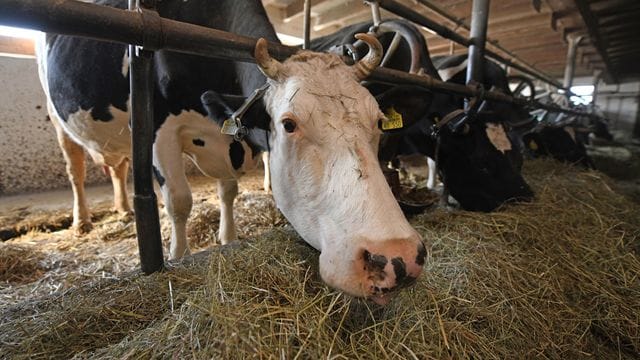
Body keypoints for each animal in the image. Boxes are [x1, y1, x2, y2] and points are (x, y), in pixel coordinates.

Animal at [33, 0, 424, 304]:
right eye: (288, 124)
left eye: (378, 121)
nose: (397, 257)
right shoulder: (157, 128)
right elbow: (179, 201)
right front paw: (178, 257)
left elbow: (229, 191)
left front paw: (228, 238)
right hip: (59, 120)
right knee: (76, 169)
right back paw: (83, 220)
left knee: (117, 167)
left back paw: (123, 208)